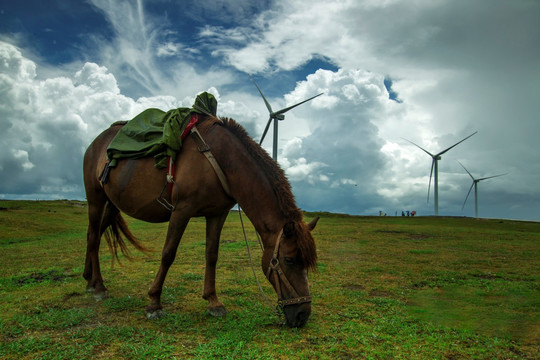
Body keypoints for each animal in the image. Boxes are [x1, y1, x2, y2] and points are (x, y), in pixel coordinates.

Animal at [83, 114, 318, 326]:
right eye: (289, 260)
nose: (302, 315)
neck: (222, 160)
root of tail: (97, 141)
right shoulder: (181, 210)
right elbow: (168, 254)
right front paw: (154, 303)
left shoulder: (217, 214)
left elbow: (212, 255)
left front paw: (213, 302)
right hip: (96, 198)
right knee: (93, 236)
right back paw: (99, 287)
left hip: (111, 203)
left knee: (95, 235)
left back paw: (89, 279)